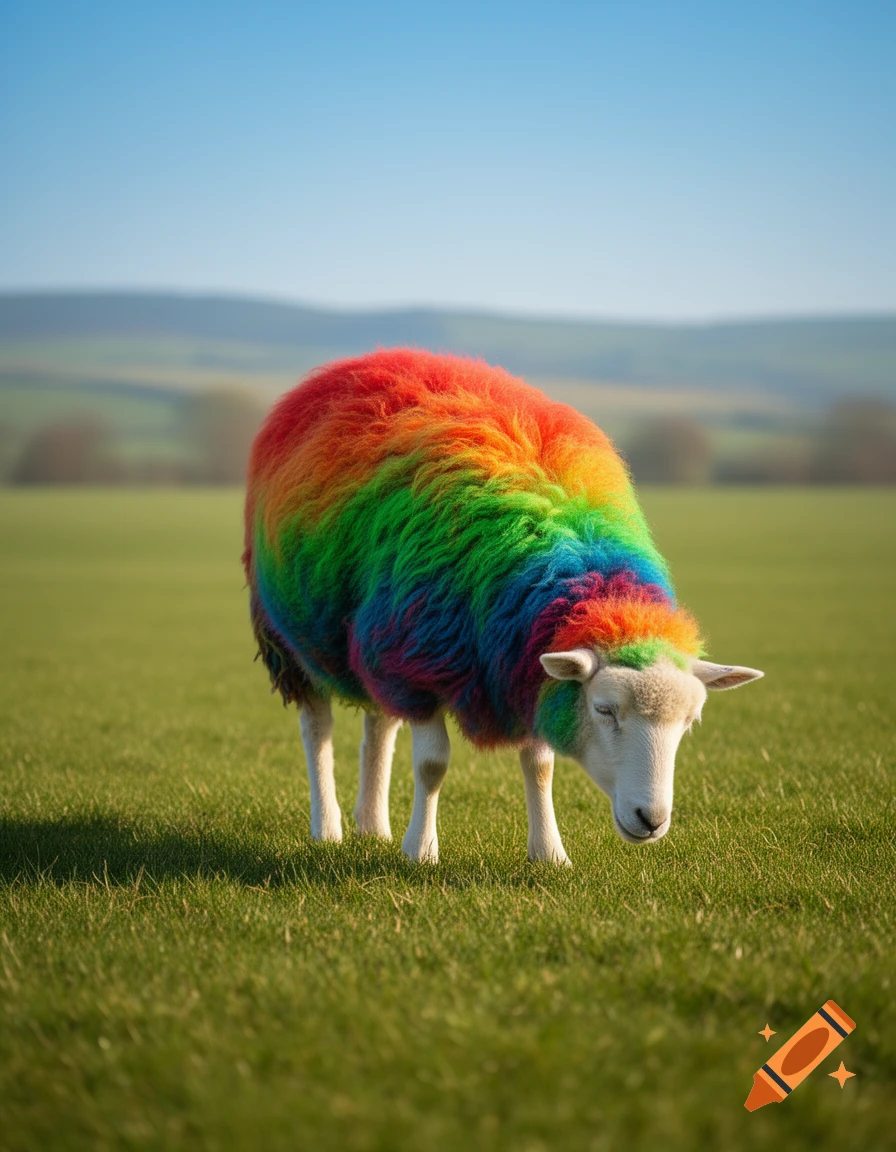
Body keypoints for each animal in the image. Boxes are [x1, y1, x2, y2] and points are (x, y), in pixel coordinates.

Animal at [243, 349, 763, 864]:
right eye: (604, 710)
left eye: (689, 723)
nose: (651, 820)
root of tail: (367, 360)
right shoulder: (420, 664)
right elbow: (432, 765)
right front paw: (421, 851)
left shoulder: (523, 662)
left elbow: (540, 765)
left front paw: (549, 853)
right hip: (296, 640)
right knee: (318, 729)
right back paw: (327, 827)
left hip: (375, 641)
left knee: (379, 726)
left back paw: (372, 826)